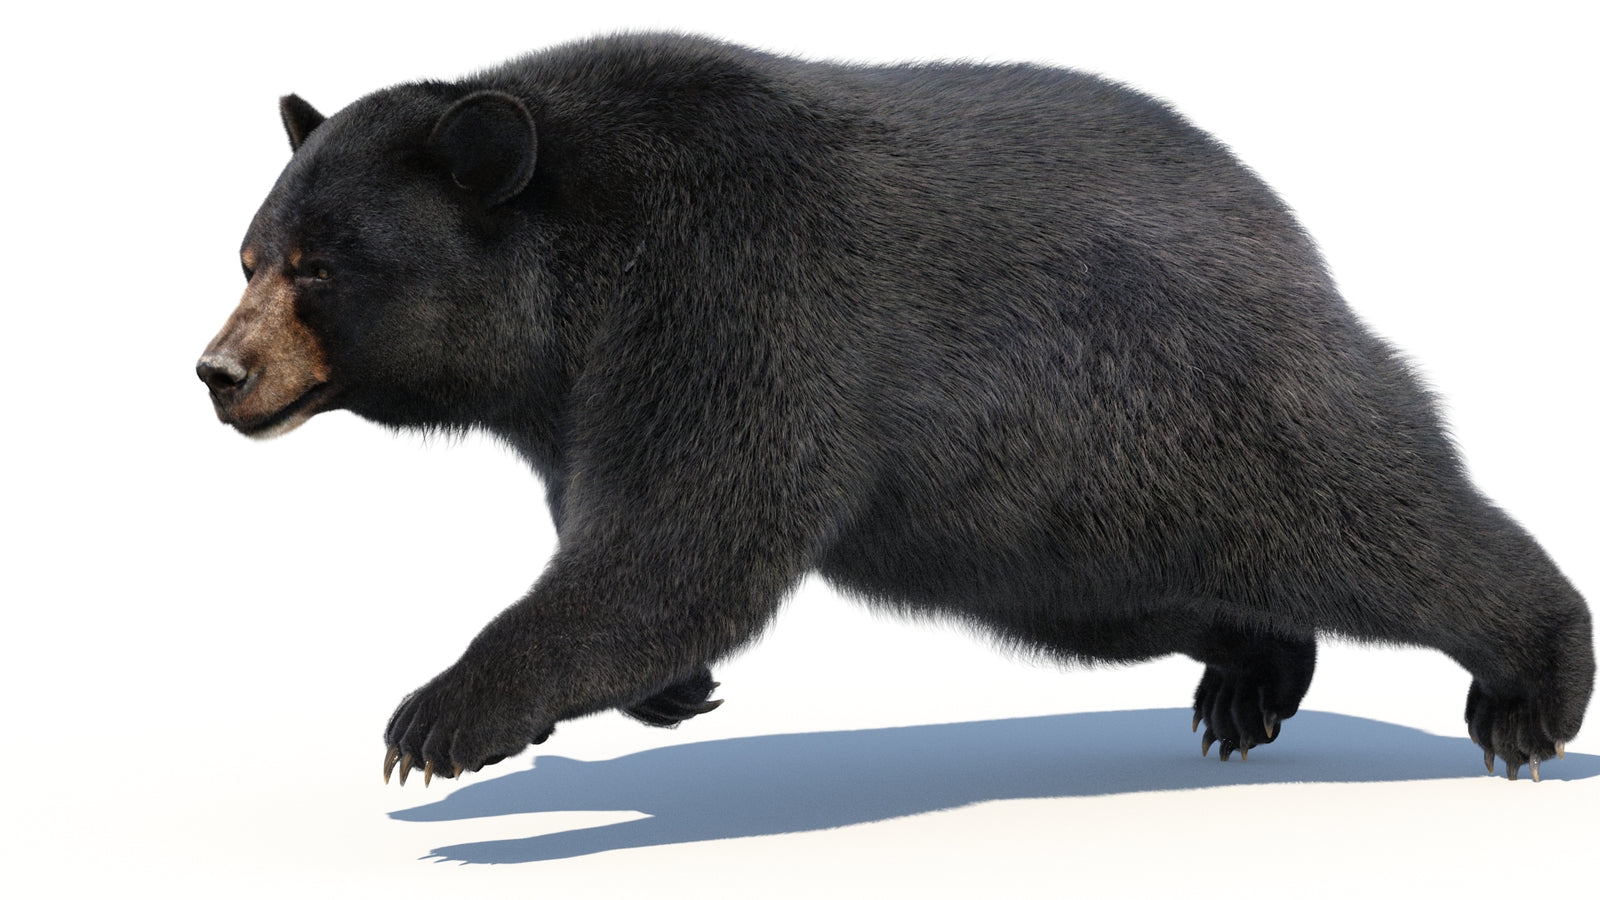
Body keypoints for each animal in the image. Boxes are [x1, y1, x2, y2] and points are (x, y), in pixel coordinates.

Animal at [196, 32, 1592, 786]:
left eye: (318, 266)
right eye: (250, 254)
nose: (218, 373)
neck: (570, 292)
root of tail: (1286, 227)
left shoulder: (735, 294)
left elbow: (686, 537)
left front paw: (438, 716)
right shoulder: (578, 397)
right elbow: (629, 546)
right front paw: (669, 693)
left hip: (1191, 401)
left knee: (1379, 517)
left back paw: (1527, 693)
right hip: (1054, 525)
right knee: (1148, 599)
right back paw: (1252, 677)